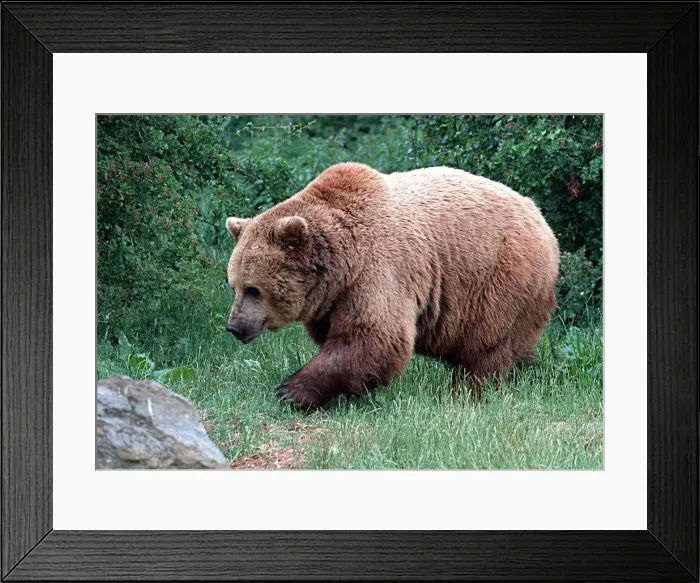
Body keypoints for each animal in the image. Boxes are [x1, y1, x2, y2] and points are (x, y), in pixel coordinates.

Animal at [225, 162, 559, 409]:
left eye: (254, 289)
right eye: (233, 285)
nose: (234, 326)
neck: (342, 265)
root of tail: (542, 218)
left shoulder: (380, 271)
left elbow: (375, 335)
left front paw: (291, 390)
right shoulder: (334, 299)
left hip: (501, 276)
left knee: (487, 343)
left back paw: (470, 390)